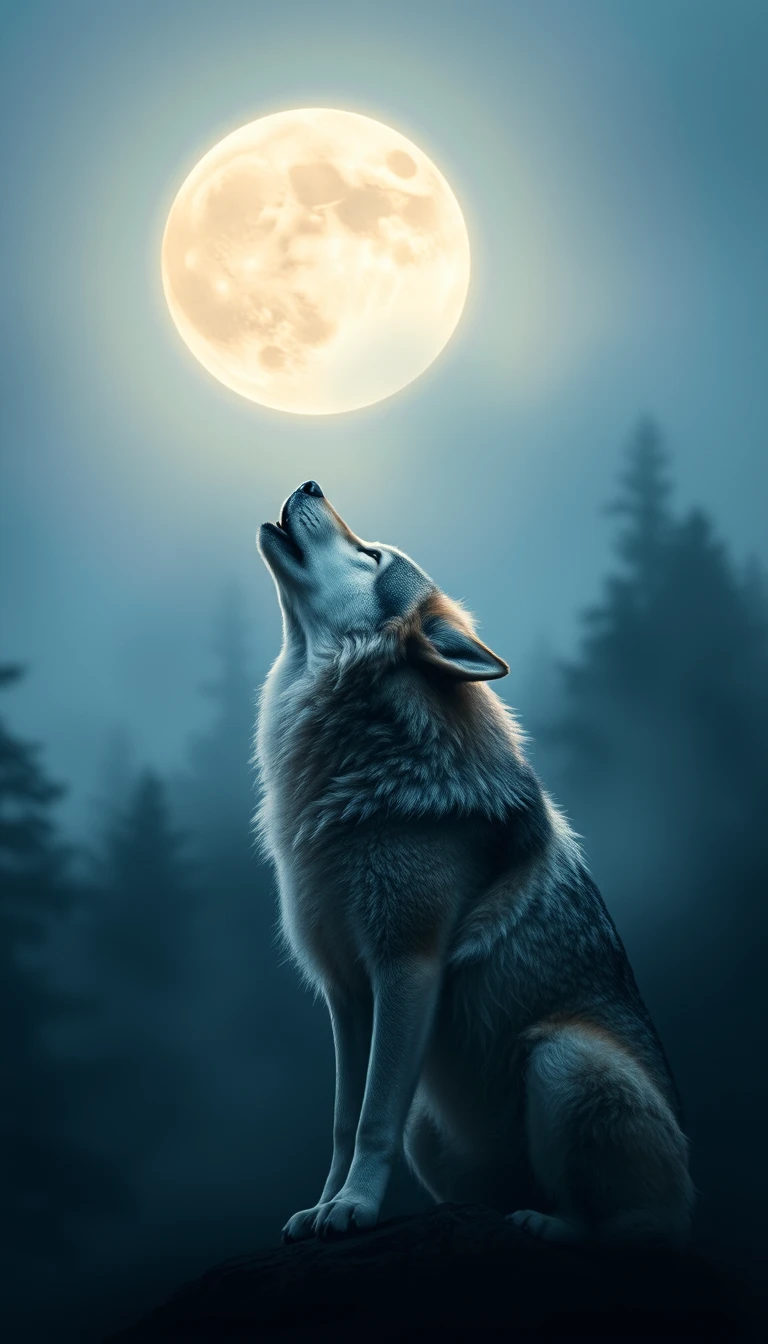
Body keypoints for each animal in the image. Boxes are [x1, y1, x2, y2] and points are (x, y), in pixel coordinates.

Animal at [255, 480, 694, 1247]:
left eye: (370, 556)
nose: (311, 483)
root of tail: (696, 1203)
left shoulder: (407, 966)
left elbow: (372, 1119)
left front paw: (354, 1208)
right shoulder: (346, 992)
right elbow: (342, 1122)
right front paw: (321, 1207)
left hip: (560, 1056)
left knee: (628, 1227)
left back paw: (549, 1225)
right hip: (432, 1131)